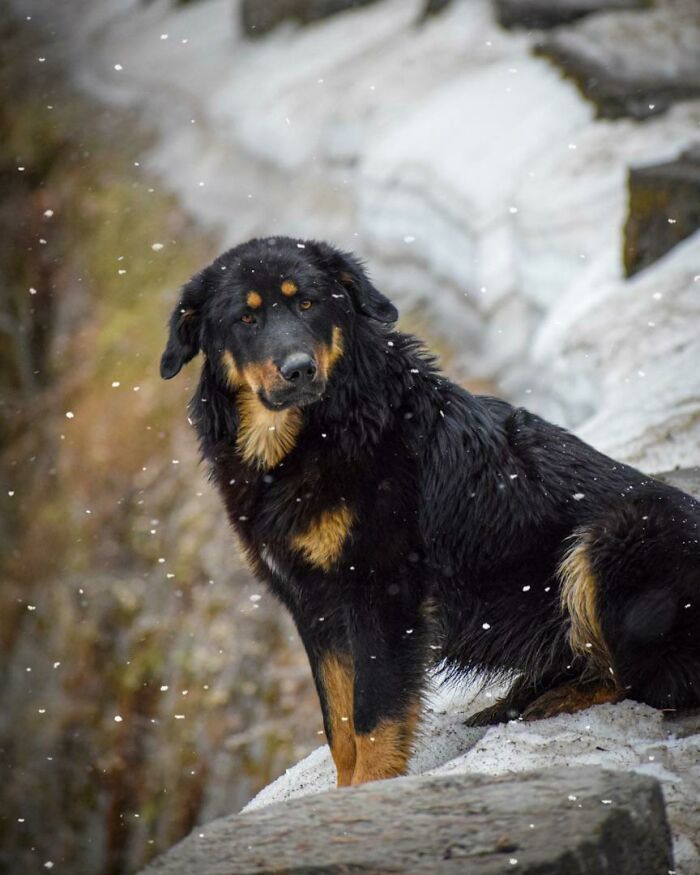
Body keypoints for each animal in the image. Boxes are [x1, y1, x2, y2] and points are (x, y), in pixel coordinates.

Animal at [160, 234, 700, 788]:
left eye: (308, 303)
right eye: (246, 319)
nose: (298, 369)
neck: (312, 437)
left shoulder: (382, 592)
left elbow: (374, 720)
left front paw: (368, 793)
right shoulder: (312, 605)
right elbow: (339, 725)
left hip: (619, 534)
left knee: (649, 681)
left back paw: (554, 701)